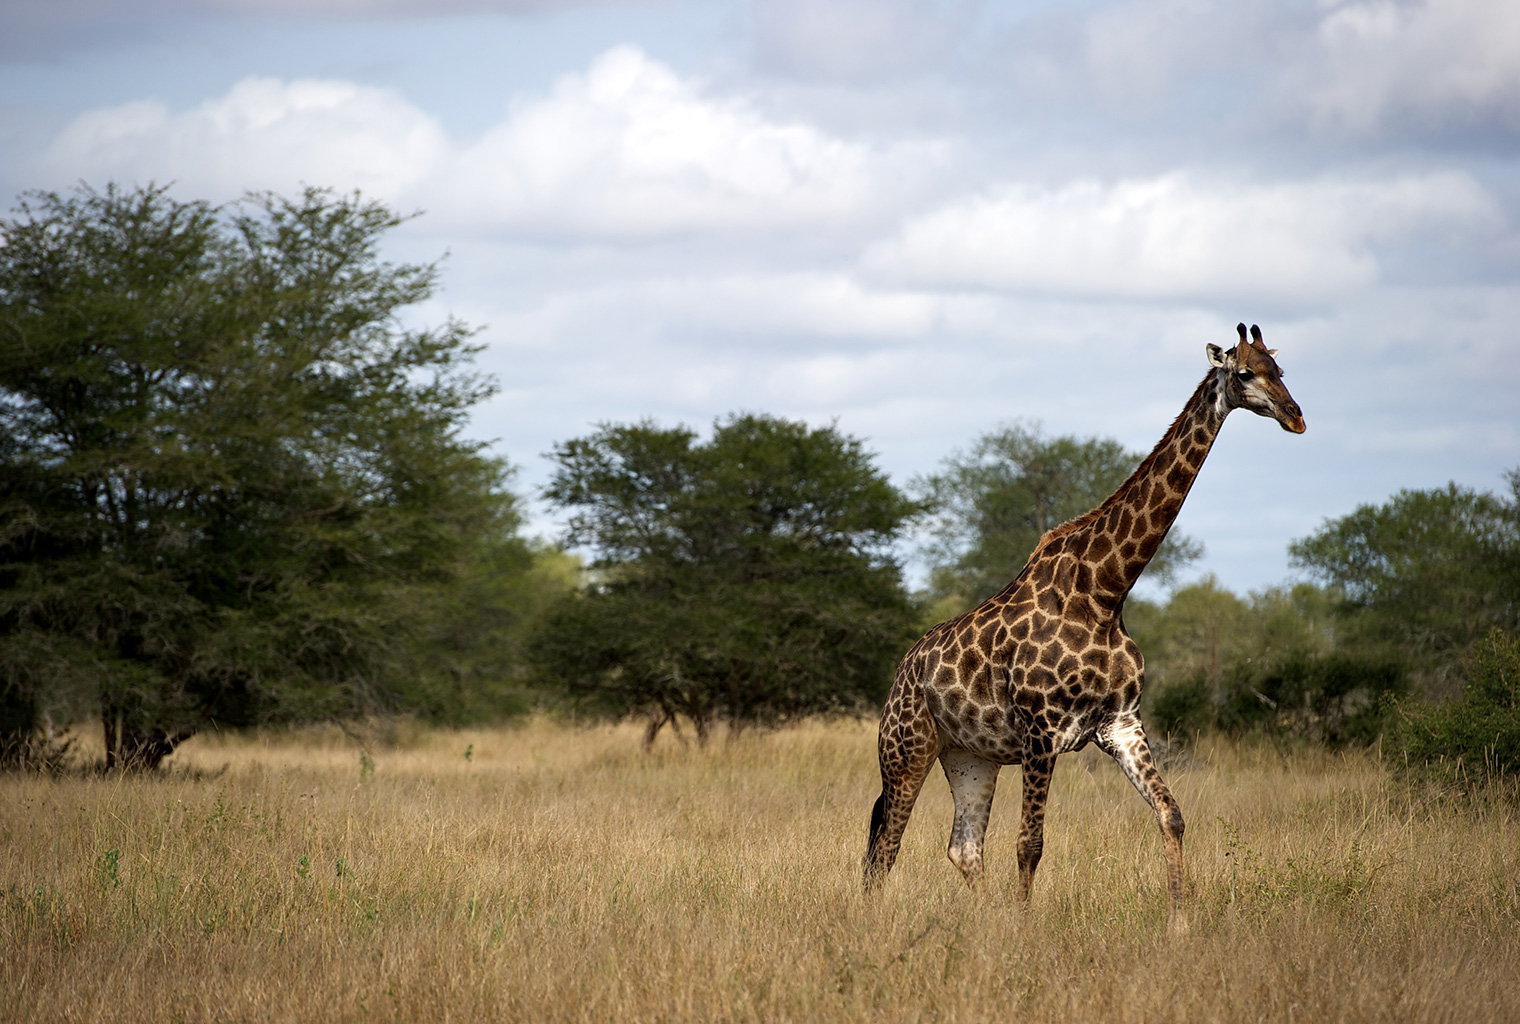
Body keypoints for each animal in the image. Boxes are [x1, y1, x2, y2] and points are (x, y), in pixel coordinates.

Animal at [869, 323, 1307, 929]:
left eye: (1280, 370)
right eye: (1245, 372)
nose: (1295, 416)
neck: (1104, 593)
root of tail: (902, 672)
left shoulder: (1120, 723)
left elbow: (1172, 815)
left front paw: (1179, 925)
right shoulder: (1041, 731)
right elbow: (1030, 843)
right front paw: (1025, 930)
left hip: (970, 755)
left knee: (963, 846)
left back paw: (982, 922)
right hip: (907, 748)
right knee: (887, 845)